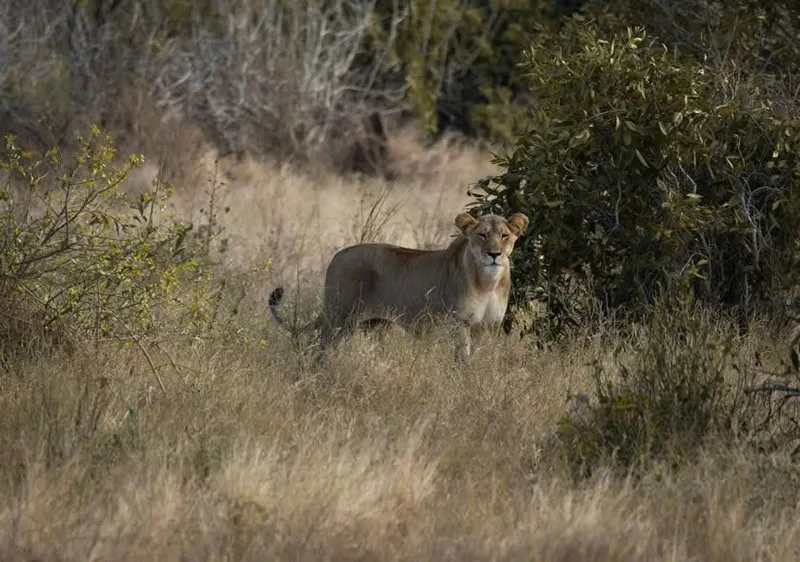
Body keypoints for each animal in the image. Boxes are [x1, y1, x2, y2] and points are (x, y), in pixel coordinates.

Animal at [268, 211, 529, 360]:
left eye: (504, 236)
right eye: (482, 235)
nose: (494, 254)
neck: (487, 283)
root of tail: (337, 257)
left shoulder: (489, 327)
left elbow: (482, 358)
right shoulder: (459, 323)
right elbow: (463, 358)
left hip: (375, 324)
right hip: (340, 317)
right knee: (324, 347)